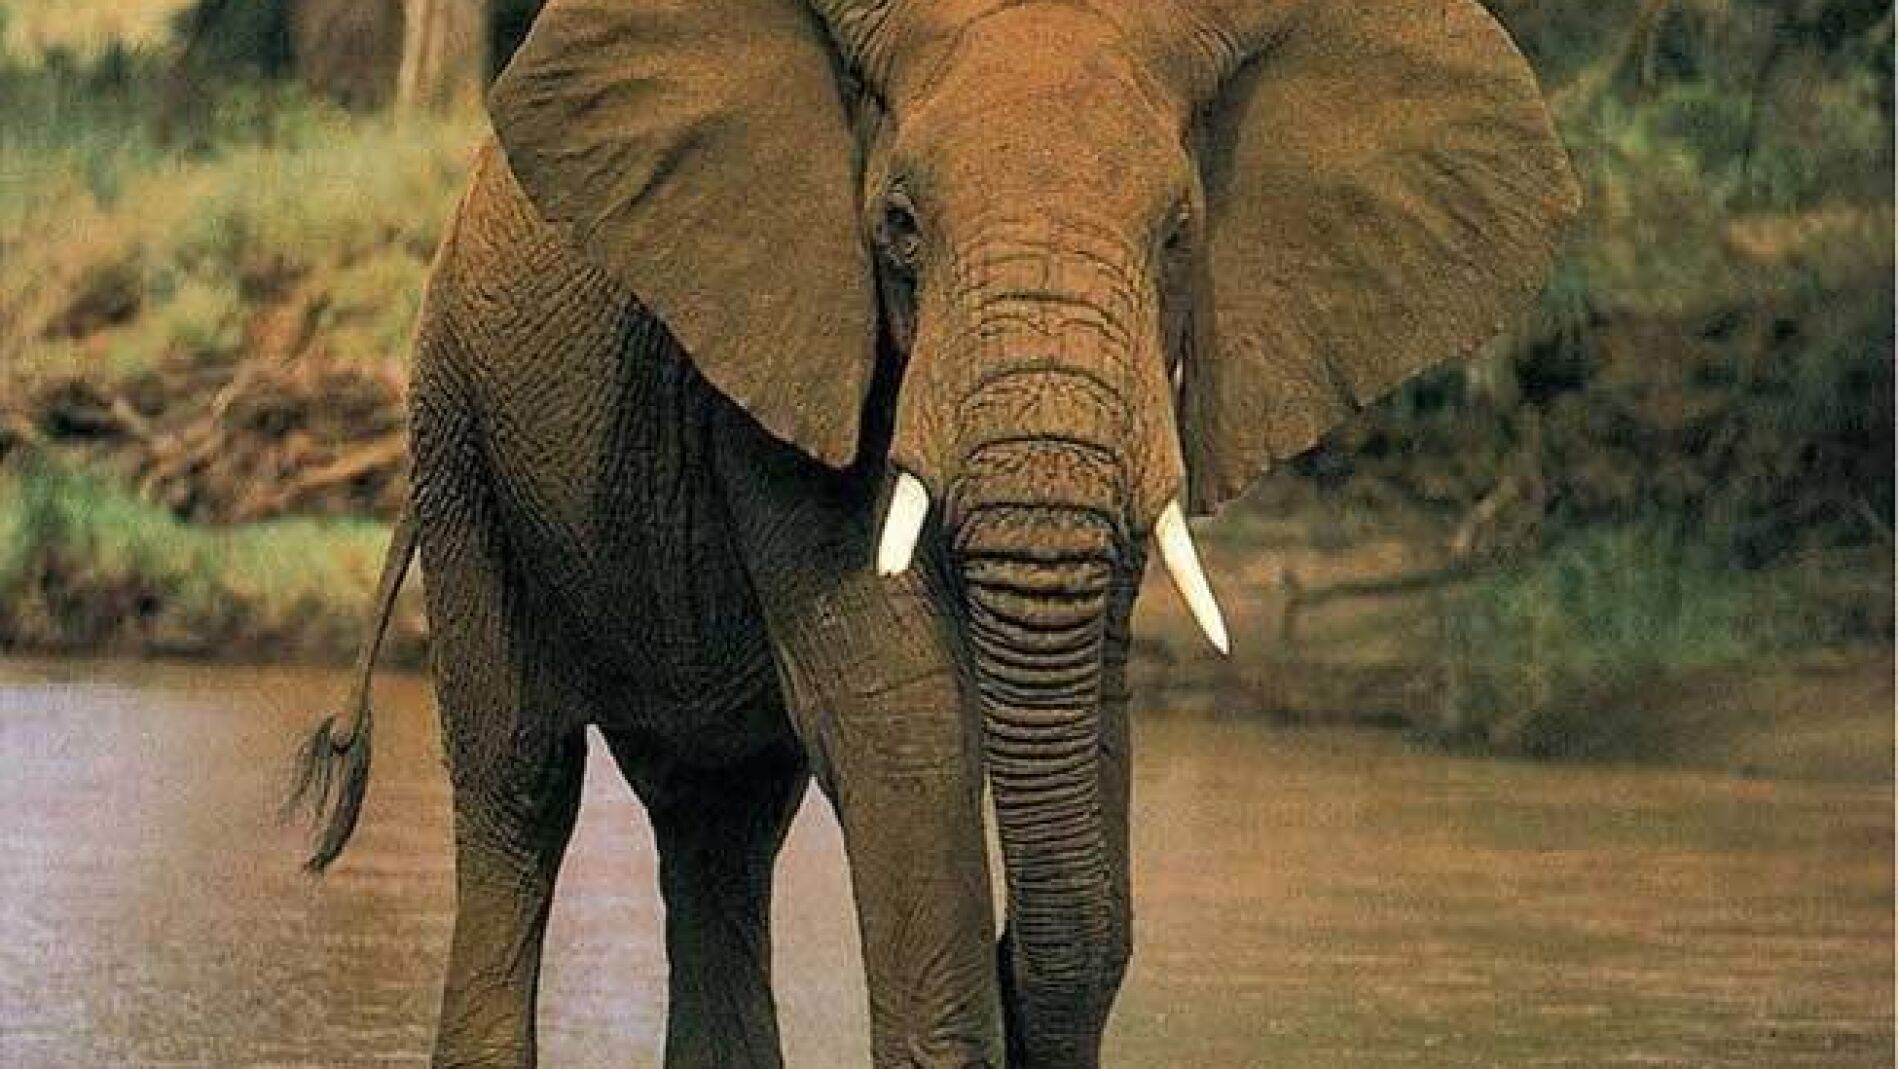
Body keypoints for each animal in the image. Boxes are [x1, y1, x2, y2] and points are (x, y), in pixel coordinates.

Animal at [289, 0, 1577, 1065]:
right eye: (898, 226)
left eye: (1177, 235)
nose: (1014, 967)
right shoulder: (787, 327)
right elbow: (899, 721)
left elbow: (1087, 712)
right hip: (455, 429)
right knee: (521, 785)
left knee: (720, 824)